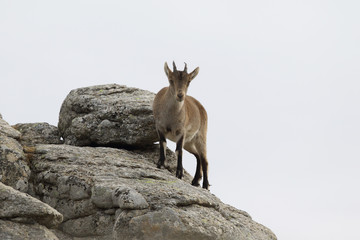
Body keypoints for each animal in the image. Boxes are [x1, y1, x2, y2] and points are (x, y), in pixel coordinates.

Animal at [153, 61, 210, 189]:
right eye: (171, 80)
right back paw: (195, 180)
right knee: (198, 156)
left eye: (188, 81)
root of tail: (201, 107)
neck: (170, 117)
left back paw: (205, 185)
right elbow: (163, 144)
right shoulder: (159, 127)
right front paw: (161, 164)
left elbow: (178, 150)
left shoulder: (181, 132)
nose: (180, 95)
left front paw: (179, 173)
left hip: (201, 136)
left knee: (204, 159)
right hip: (189, 142)